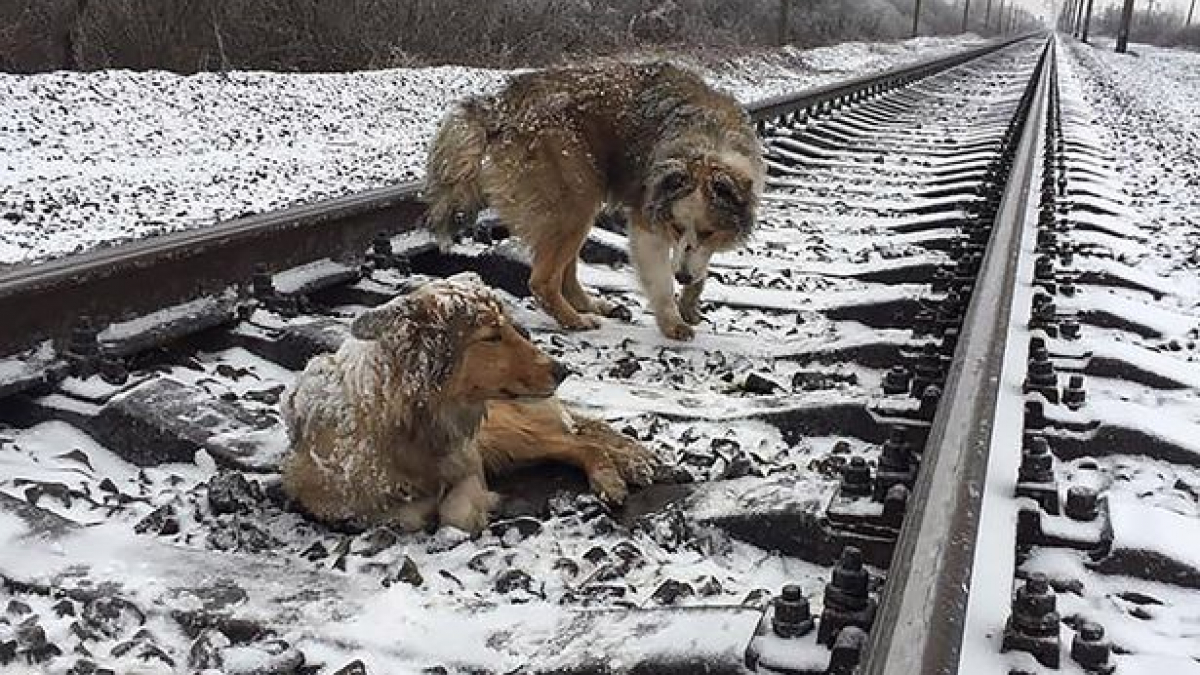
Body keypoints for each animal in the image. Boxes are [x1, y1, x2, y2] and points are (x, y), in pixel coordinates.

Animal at [280, 271, 657, 530]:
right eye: (491, 336)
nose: (563, 370)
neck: (410, 426)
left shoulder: (470, 460)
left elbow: (454, 513)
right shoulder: (323, 497)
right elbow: (404, 515)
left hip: (507, 433)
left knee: (581, 442)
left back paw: (615, 475)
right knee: (580, 438)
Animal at [422, 60, 763, 338]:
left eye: (708, 232)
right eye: (676, 228)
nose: (682, 275)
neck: (707, 144)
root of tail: (500, 105)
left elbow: (699, 265)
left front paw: (690, 301)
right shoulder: (647, 220)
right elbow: (661, 280)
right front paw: (672, 320)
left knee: (566, 273)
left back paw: (594, 306)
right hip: (575, 198)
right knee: (542, 281)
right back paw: (574, 320)